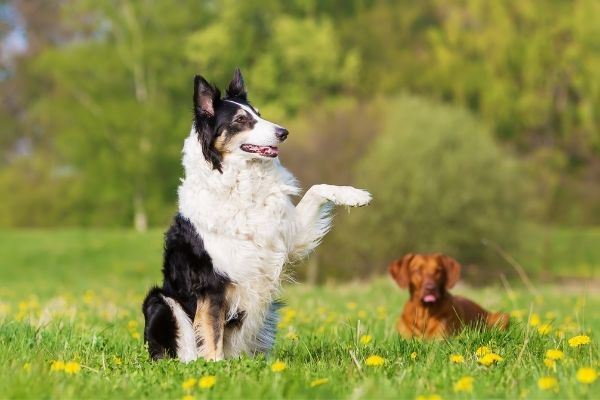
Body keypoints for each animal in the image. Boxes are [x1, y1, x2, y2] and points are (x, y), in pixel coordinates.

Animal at [144, 69, 372, 362]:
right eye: (241, 120)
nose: (284, 132)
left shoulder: (290, 236)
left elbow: (317, 189)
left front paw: (354, 195)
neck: (243, 182)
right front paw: (213, 367)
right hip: (160, 300)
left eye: (259, 114)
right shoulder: (212, 283)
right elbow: (211, 333)